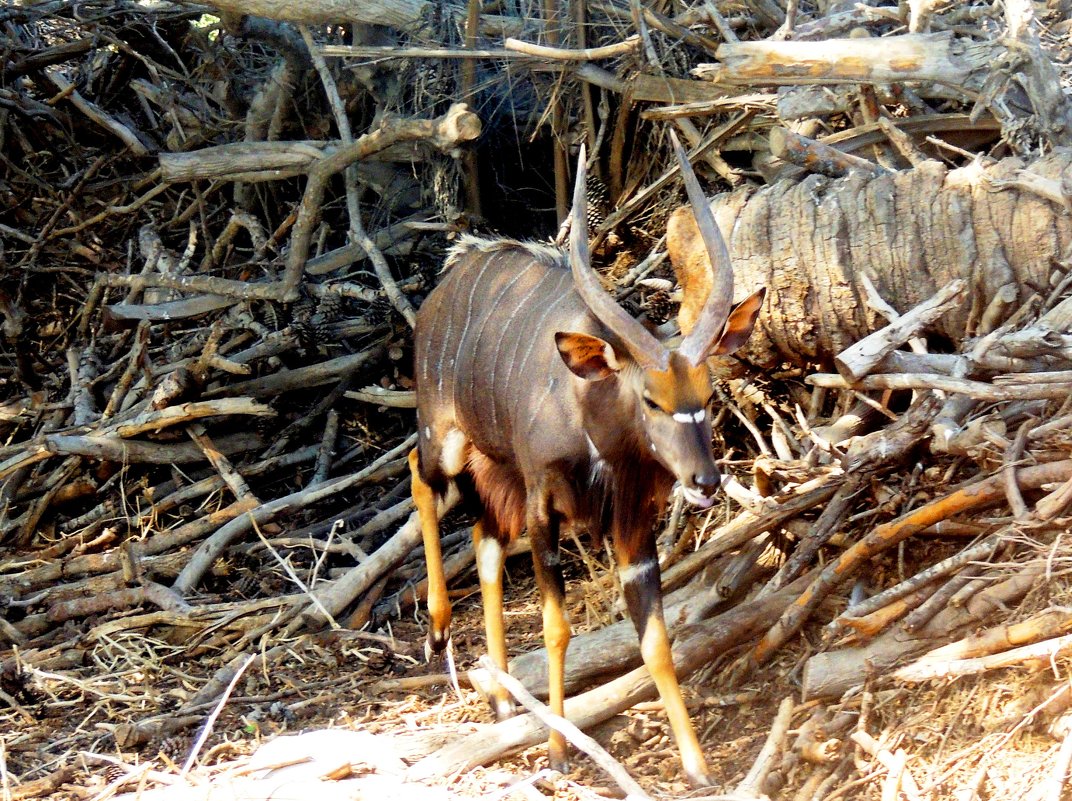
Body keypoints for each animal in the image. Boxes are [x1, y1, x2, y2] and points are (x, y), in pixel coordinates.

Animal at [405, 139, 767, 789]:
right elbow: (557, 629)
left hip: (495, 471)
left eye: (705, 393)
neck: (589, 413)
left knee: (484, 537)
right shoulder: (543, 506)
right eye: (651, 399)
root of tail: (445, 286)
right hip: (443, 435)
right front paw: (556, 750)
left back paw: (503, 700)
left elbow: (656, 641)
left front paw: (698, 766)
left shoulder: (634, 527)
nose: (705, 479)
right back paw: (441, 624)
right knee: (420, 476)